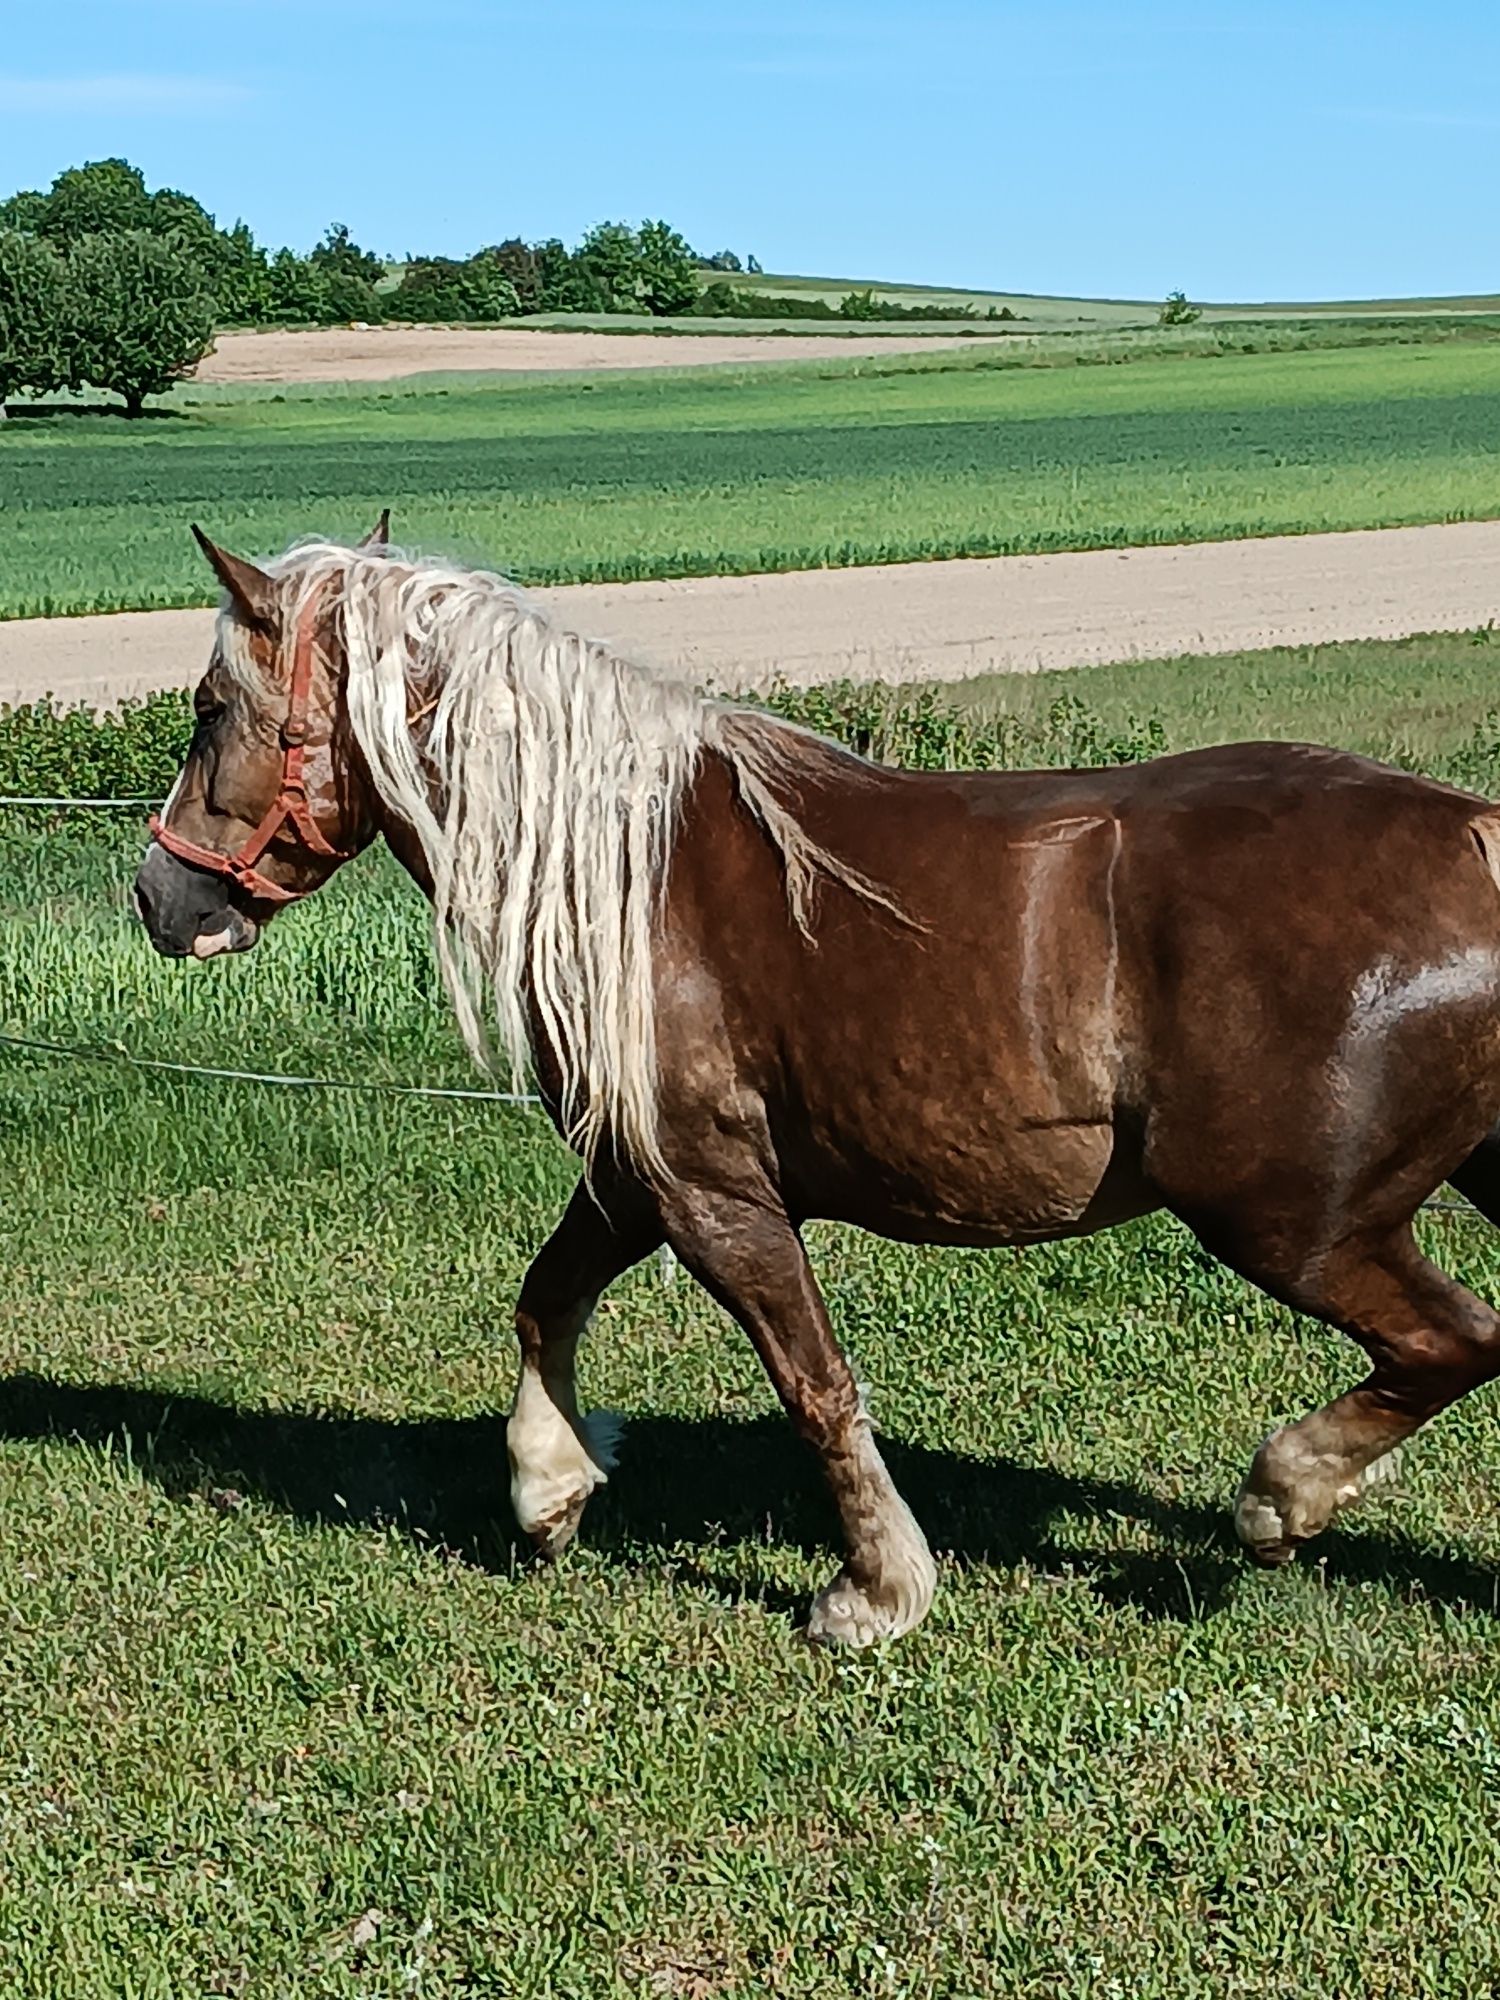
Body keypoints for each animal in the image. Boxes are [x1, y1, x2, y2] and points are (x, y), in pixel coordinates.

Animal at [135, 524, 1500, 1648]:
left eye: (208, 706)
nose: (161, 897)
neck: (629, 868)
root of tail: (1475, 837)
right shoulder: (638, 1179)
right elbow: (544, 1298)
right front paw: (549, 1487)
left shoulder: (716, 1197)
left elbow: (815, 1383)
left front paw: (875, 1590)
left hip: (1292, 1221)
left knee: (1455, 1339)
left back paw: (1282, 1493)